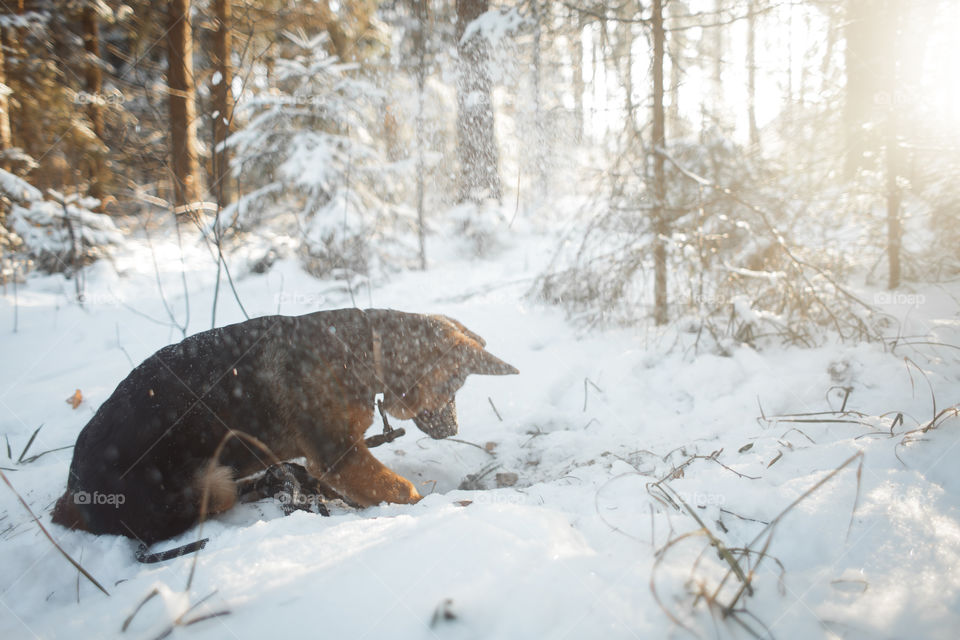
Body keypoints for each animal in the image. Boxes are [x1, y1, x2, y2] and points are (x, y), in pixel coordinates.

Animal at [52, 308, 516, 540]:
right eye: (455, 384)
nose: (453, 430)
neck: (363, 348)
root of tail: (75, 488)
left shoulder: (337, 461)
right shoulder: (340, 457)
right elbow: (403, 491)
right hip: (209, 484)